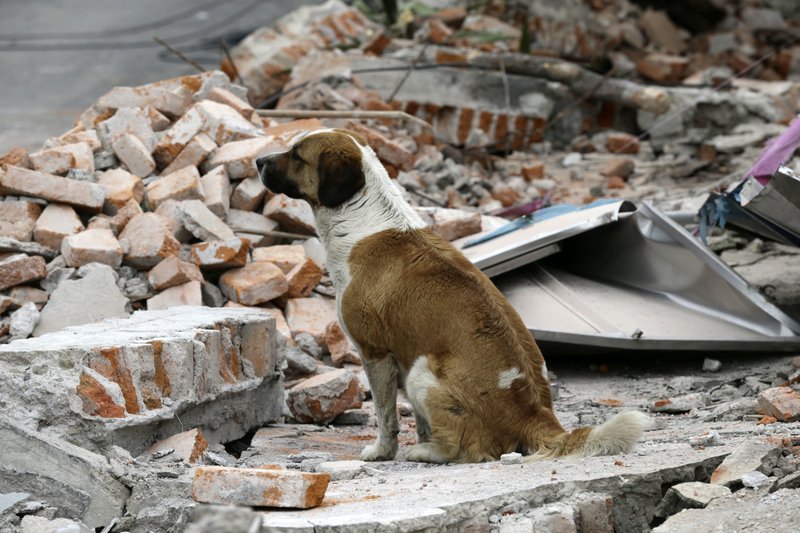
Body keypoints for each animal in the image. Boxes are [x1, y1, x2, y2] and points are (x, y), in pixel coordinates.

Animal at [256, 129, 648, 462]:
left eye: (296, 155)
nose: (259, 161)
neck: (360, 216)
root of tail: (536, 414)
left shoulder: (375, 353)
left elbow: (385, 416)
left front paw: (382, 451)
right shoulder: (401, 353)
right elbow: (419, 421)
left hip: (421, 373)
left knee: (463, 448)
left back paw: (425, 453)